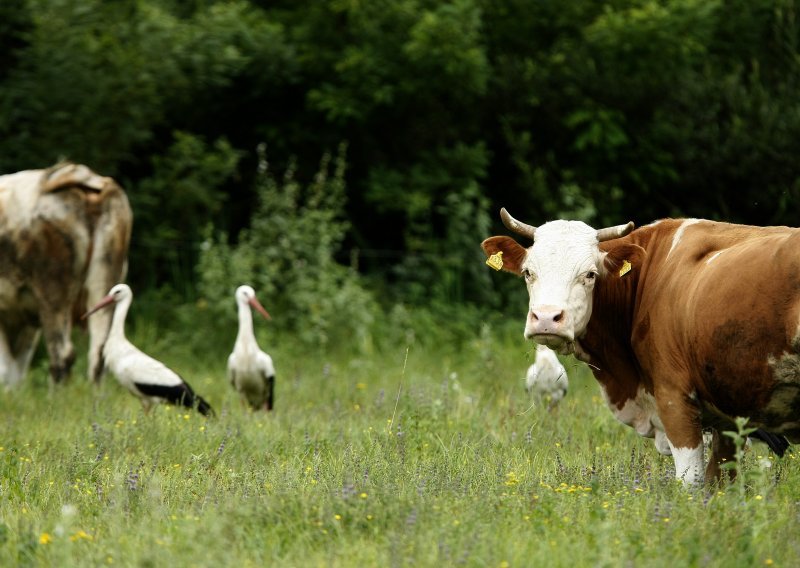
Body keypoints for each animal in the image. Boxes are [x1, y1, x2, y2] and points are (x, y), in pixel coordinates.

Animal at [484, 211, 796, 486]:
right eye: (528, 272)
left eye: (590, 274)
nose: (547, 318)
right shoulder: (728, 423)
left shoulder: (675, 400)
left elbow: (691, 483)